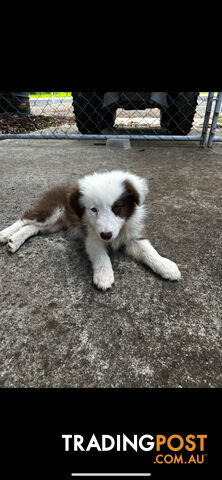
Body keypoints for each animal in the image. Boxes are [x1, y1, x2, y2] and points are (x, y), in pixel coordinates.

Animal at [0, 170, 180, 288]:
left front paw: (166, 266)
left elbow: (148, 251)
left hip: (55, 224)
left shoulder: (132, 236)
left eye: (117, 208)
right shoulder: (92, 237)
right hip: (50, 210)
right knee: (24, 219)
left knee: (32, 227)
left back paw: (14, 241)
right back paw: (5, 234)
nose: (106, 235)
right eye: (93, 209)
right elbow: (101, 255)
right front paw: (104, 275)